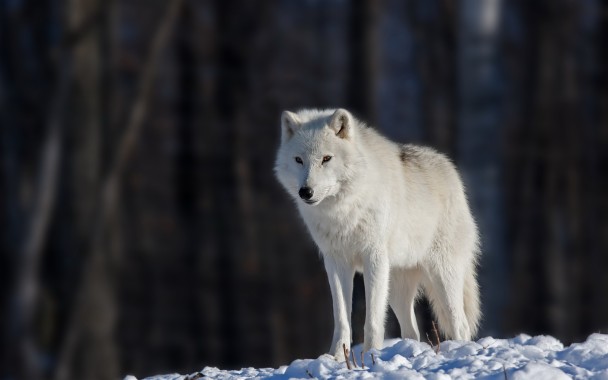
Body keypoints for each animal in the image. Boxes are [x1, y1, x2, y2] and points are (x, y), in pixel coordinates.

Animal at [274, 107, 480, 360]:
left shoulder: (373, 257)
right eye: (298, 160)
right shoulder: (336, 262)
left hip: (441, 275)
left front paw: (370, 355)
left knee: (460, 324)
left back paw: (461, 351)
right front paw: (336, 357)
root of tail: (450, 169)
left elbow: (372, 319)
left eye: (326, 158)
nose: (306, 191)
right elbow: (341, 318)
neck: (343, 211)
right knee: (412, 331)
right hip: (395, 288)